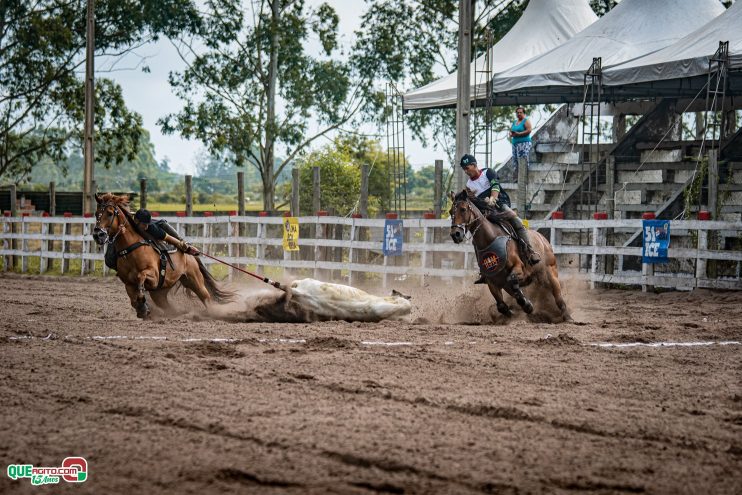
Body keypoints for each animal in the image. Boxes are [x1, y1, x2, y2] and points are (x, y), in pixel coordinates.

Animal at [92, 192, 232, 320]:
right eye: (96, 213)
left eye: (110, 213)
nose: (98, 235)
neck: (131, 249)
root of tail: (190, 256)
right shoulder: (129, 283)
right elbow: (133, 299)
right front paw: (142, 309)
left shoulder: (154, 276)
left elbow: (141, 276)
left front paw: (143, 306)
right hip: (160, 293)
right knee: (169, 307)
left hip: (195, 281)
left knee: (206, 298)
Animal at [448, 190, 576, 322]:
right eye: (450, 212)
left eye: (463, 209)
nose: (455, 234)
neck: (491, 239)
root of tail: (543, 239)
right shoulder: (492, 281)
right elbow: (501, 305)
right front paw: (515, 311)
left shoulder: (518, 268)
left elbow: (513, 280)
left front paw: (527, 305)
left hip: (550, 274)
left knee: (559, 299)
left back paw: (568, 317)